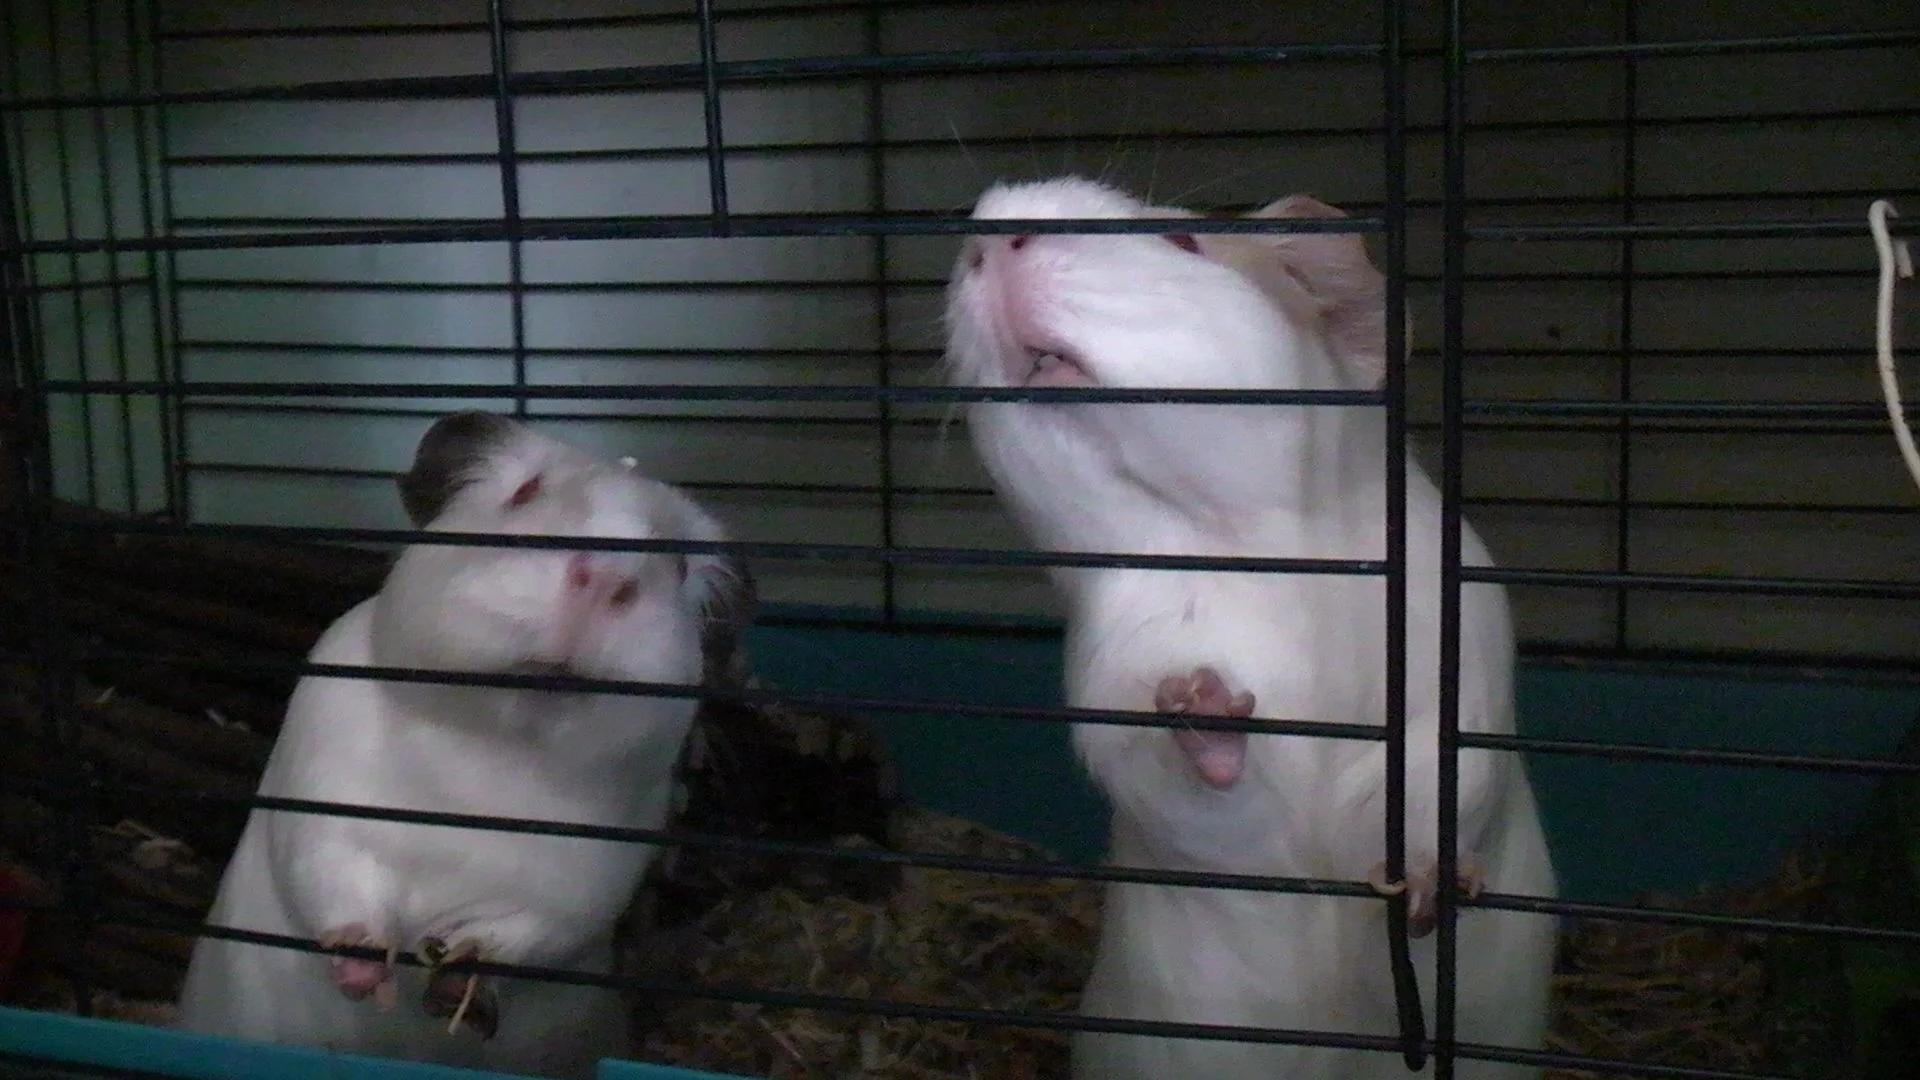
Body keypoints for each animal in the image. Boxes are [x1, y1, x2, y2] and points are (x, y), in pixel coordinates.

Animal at [174, 411, 754, 1079]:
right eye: (524, 491)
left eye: (680, 565)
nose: (607, 575)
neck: (498, 746)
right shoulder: (324, 815)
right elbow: (339, 891)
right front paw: (368, 976)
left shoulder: (582, 892)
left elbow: (515, 937)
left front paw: (454, 984)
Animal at [942, 177, 1559, 1079]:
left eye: (1183, 241)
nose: (994, 225)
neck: (1258, 551)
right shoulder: (1118, 683)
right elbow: (1197, 786)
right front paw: (1204, 699)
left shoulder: (1458, 664)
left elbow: (1441, 779)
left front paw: (1422, 890)